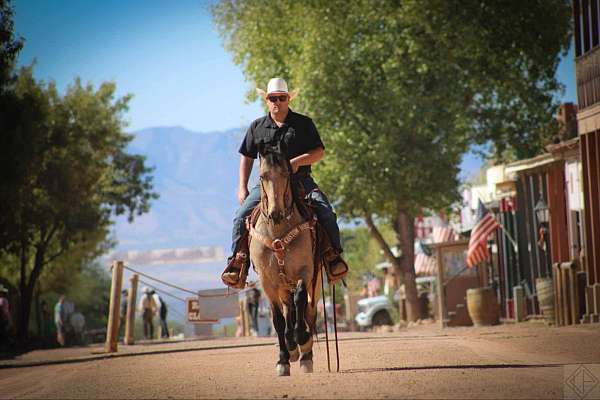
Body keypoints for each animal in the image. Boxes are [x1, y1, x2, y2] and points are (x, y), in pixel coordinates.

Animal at [247, 139, 322, 376]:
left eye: (286, 173)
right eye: (262, 176)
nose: (276, 213)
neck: (277, 233)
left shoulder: (305, 272)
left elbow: (300, 301)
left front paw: (302, 340)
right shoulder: (267, 282)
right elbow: (278, 320)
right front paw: (283, 360)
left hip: (315, 282)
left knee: (308, 311)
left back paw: (305, 354)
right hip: (281, 285)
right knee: (289, 310)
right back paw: (292, 348)